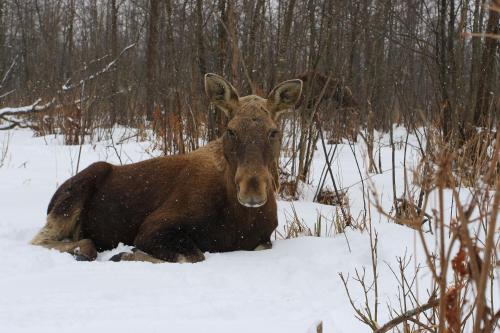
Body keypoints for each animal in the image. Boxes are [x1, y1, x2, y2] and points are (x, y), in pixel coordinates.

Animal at [32, 74, 304, 264]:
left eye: (274, 131)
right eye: (231, 130)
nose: (252, 191)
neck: (240, 217)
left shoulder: (263, 240)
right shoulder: (154, 228)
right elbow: (193, 256)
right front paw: (125, 254)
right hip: (74, 195)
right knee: (41, 240)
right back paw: (83, 249)